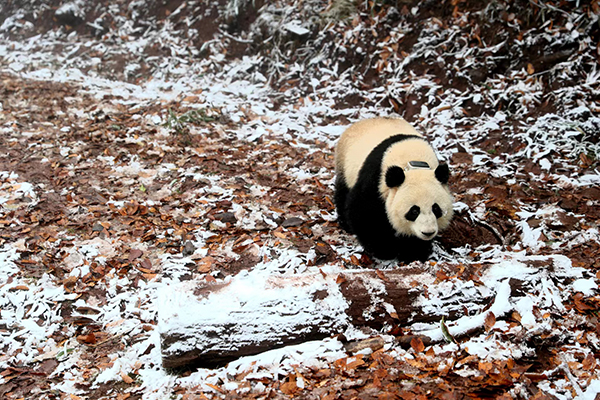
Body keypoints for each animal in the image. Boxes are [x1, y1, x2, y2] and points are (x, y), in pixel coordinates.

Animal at [332, 116, 454, 262]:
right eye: (414, 211)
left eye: (436, 208)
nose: (428, 232)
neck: (413, 162)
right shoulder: (376, 179)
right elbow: (363, 213)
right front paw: (385, 250)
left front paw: (414, 252)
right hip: (344, 163)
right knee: (343, 192)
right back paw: (345, 224)